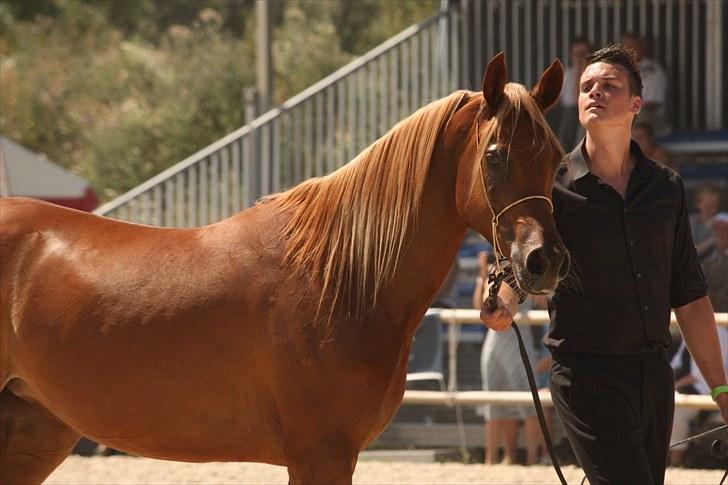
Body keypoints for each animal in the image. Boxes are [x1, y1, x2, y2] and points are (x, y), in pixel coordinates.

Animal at [0, 54, 568, 484]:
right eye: (494, 155)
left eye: (558, 159)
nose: (544, 261)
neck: (341, 278)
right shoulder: (321, 454)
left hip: (36, 431)